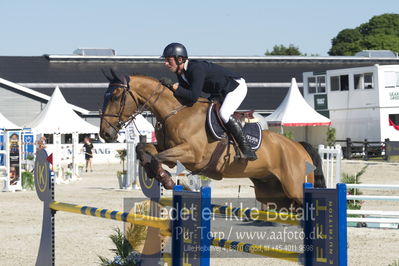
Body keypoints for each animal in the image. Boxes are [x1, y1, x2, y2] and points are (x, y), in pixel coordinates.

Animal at [99, 70, 324, 210]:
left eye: (116, 97)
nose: (105, 134)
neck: (176, 112)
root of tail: (298, 147)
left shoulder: (192, 154)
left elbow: (156, 157)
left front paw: (168, 180)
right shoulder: (169, 151)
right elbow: (144, 149)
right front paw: (158, 175)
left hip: (295, 188)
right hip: (273, 193)